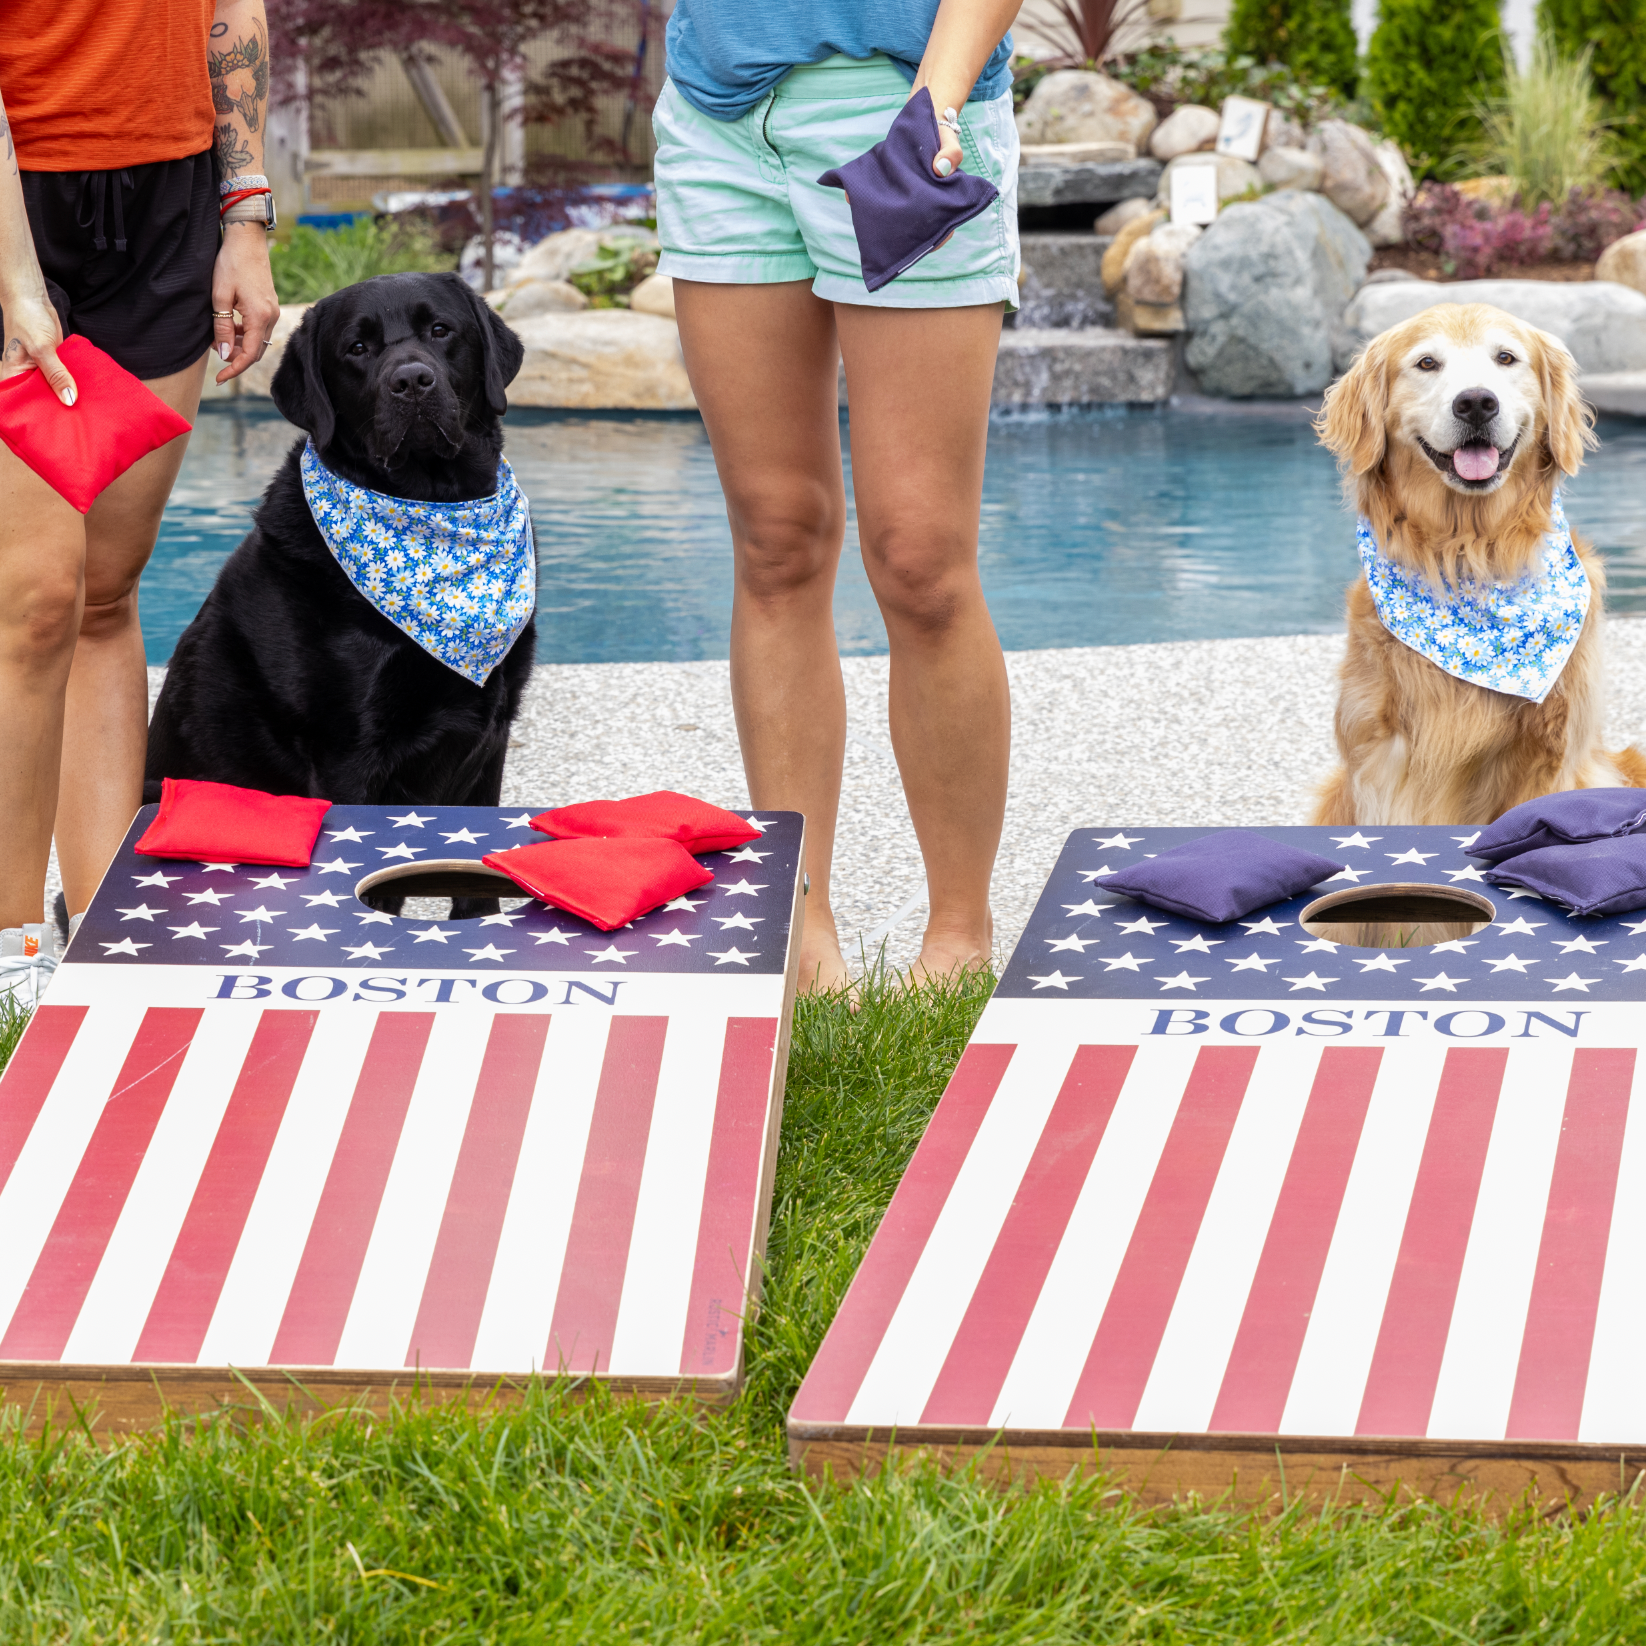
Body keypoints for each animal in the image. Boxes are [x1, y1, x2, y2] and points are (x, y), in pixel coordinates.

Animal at [144, 273, 533, 823]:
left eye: (440, 330)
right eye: (357, 348)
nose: (412, 381)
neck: (432, 501)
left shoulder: (493, 733)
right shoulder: (348, 751)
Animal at [1310, 297, 1646, 829]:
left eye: (1505, 358)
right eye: (1427, 363)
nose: (1475, 402)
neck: (1469, 554)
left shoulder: (1550, 757)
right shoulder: (1384, 759)